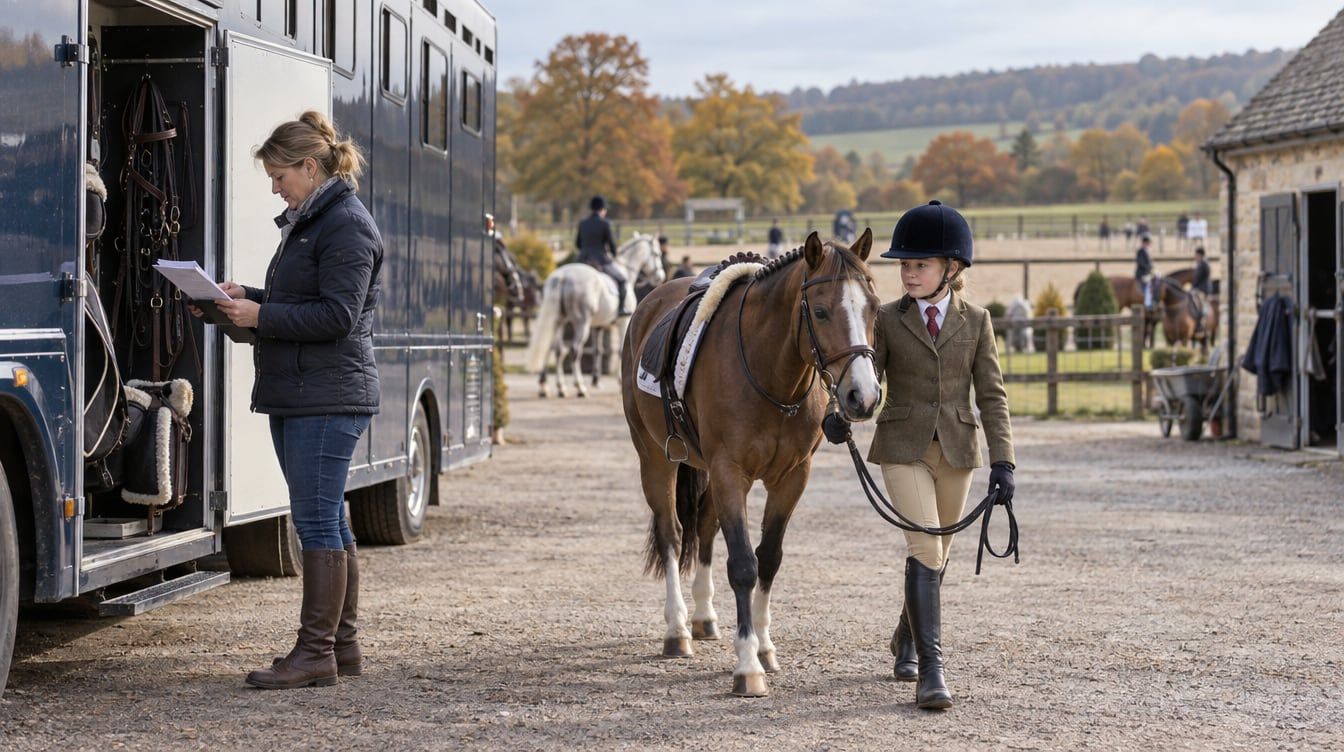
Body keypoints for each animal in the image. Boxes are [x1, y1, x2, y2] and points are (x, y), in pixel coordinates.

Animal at [526, 233, 665, 397]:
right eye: (657, 254)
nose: (660, 277)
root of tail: (563, 276)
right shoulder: (623, 322)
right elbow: (620, 351)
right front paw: (619, 383)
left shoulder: (598, 326)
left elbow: (598, 350)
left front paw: (596, 380)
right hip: (581, 323)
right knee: (575, 350)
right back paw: (580, 387)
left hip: (559, 321)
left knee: (555, 349)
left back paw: (554, 387)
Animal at [620, 231, 882, 697]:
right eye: (820, 311)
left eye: (873, 307)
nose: (863, 396)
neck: (770, 373)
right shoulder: (730, 472)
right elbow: (744, 564)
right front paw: (747, 665)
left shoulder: (792, 477)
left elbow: (769, 557)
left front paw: (763, 645)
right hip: (653, 457)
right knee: (672, 534)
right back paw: (678, 630)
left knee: (704, 528)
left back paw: (703, 618)